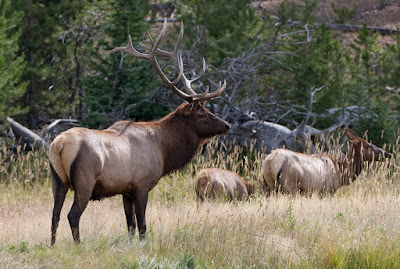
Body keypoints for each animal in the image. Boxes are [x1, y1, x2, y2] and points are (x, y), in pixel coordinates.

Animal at [49, 19, 231, 244]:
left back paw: (52, 245)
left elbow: (130, 225)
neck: (164, 150)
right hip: (84, 181)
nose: (226, 125)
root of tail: (59, 144)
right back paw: (78, 245)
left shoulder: (126, 191)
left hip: (58, 180)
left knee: (54, 214)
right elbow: (143, 225)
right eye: (201, 114)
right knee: (72, 215)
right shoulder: (142, 185)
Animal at [262, 128, 390, 195]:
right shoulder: (327, 191)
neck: (340, 173)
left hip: (268, 186)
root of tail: (269, 162)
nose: (387, 153)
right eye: (369, 145)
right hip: (290, 186)